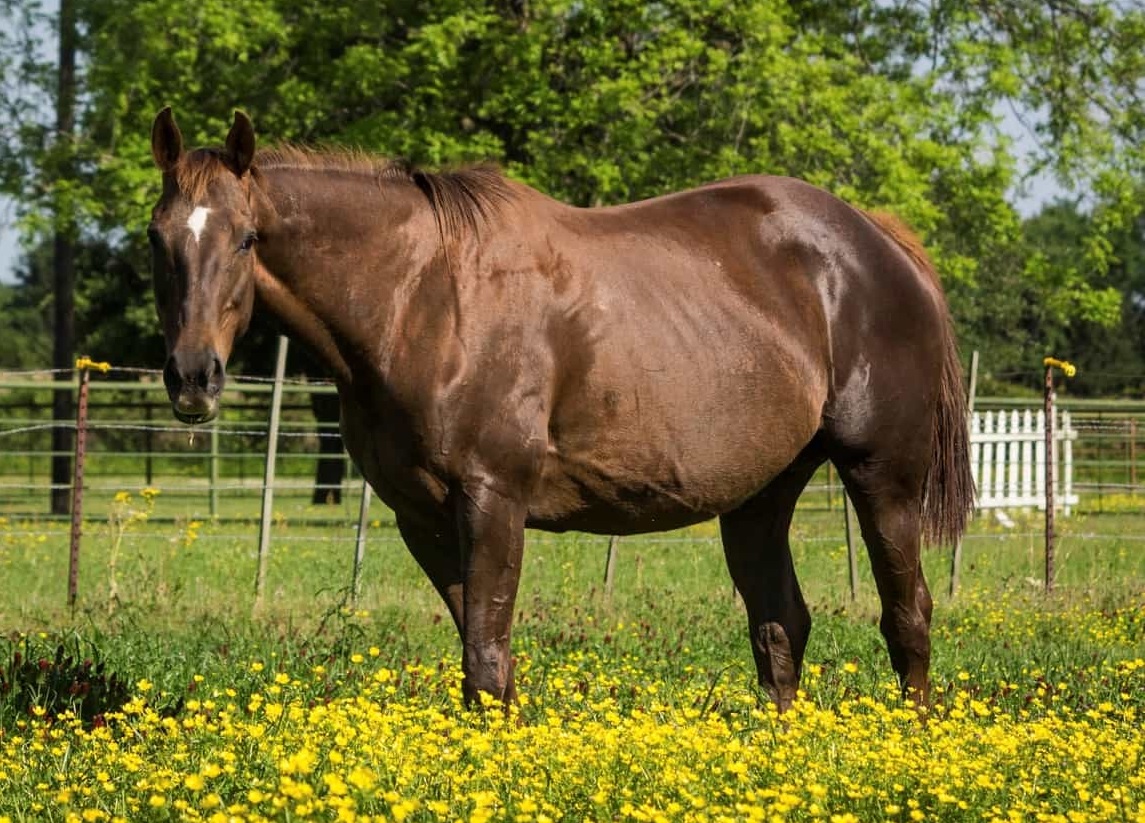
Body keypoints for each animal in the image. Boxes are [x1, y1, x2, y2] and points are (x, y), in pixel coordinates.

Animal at [148, 108, 973, 710]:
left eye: (247, 238)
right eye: (158, 240)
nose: (193, 377)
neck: (421, 299)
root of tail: (876, 240)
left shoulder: (492, 500)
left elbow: (485, 659)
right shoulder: (422, 518)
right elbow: (485, 659)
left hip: (881, 478)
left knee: (906, 617)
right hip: (759, 495)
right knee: (780, 625)